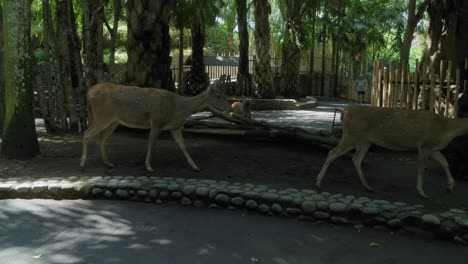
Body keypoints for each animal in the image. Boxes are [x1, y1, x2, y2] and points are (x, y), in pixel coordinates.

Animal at [80, 79, 230, 172]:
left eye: (224, 93)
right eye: (218, 95)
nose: (230, 105)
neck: (178, 109)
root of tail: (88, 92)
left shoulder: (175, 127)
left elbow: (183, 146)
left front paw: (195, 166)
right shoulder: (157, 121)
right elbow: (151, 144)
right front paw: (149, 167)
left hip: (113, 121)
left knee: (102, 138)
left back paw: (108, 163)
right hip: (102, 116)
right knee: (87, 133)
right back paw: (82, 164)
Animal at [314, 104, 468, 198]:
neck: (446, 129)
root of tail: (344, 111)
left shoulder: (434, 148)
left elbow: (445, 163)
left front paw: (450, 187)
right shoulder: (425, 145)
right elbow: (421, 168)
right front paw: (422, 192)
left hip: (365, 141)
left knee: (356, 159)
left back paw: (368, 186)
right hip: (351, 135)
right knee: (332, 153)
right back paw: (318, 184)